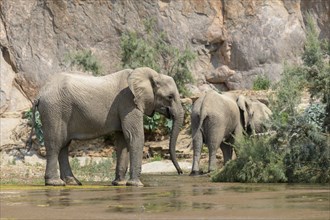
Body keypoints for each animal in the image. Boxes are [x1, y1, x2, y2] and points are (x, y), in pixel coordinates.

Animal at [27, 66, 183, 186]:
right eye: (170, 97)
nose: (180, 172)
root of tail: (40, 94)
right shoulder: (128, 102)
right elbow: (134, 136)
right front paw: (136, 185)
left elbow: (123, 140)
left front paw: (119, 184)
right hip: (54, 110)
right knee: (55, 143)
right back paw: (55, 183)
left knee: (64, 145)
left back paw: (73, 182)